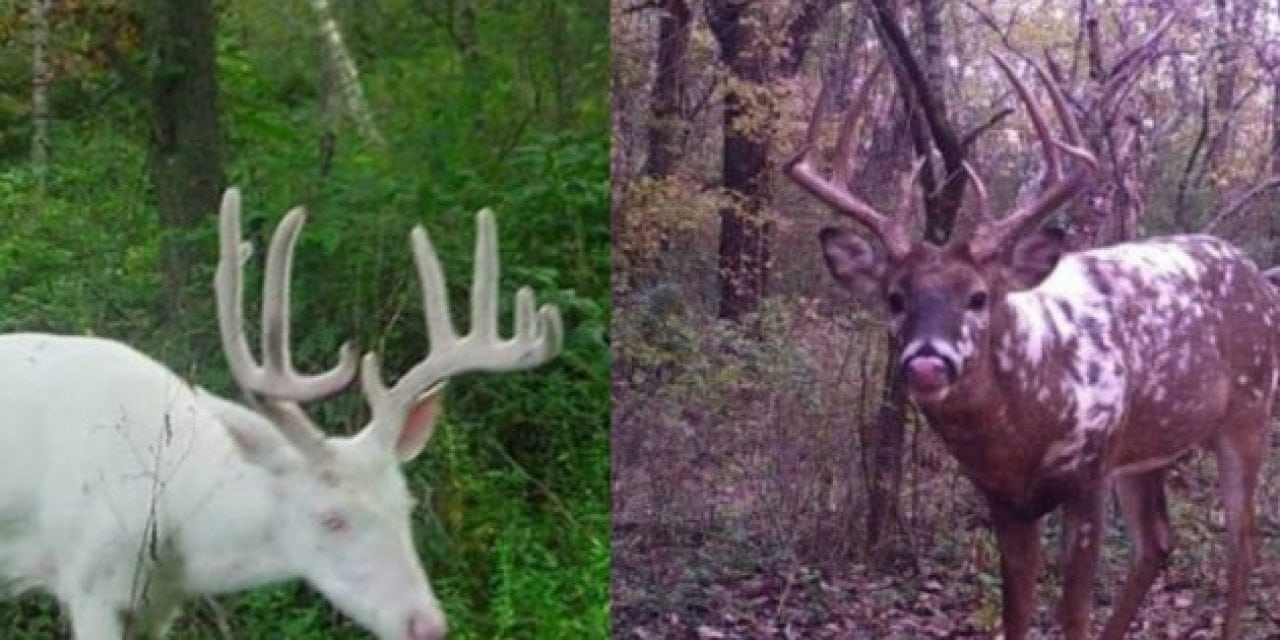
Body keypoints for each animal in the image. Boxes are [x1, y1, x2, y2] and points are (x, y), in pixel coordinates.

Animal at [788, 55, 1280, 640]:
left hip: (1248, 412)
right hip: (1148, 447)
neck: (1024, 427)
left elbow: (1073, 615)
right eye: (894, 298)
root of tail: (1260, 278)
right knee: (1158, 542)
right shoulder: (1002, 497)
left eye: (978, 297)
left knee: (1243, 548)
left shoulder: (1089, 473)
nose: (927, 362)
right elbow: (1016, 611)